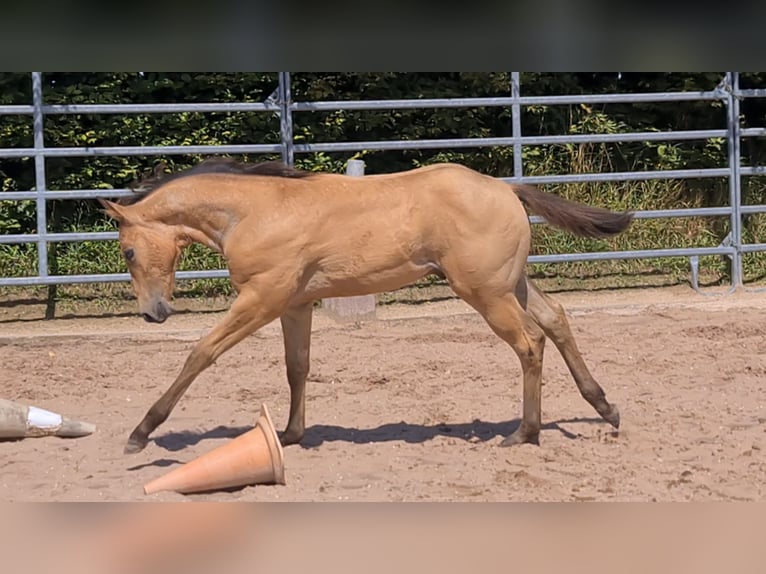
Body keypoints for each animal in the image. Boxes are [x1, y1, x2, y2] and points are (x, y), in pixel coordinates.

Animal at [99, 160, 632, 456]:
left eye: (127, 252)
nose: (153, 312)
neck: (253, 212)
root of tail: (507, 188)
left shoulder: (261, 298)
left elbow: (201, 353)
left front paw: (141, 432)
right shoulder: (296, 303)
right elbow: (297, 367)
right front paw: (291, 434)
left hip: (486, 292)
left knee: (529, 341)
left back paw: (525, 433)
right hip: (508, 284)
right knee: (556, 319)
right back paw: (605, 408)